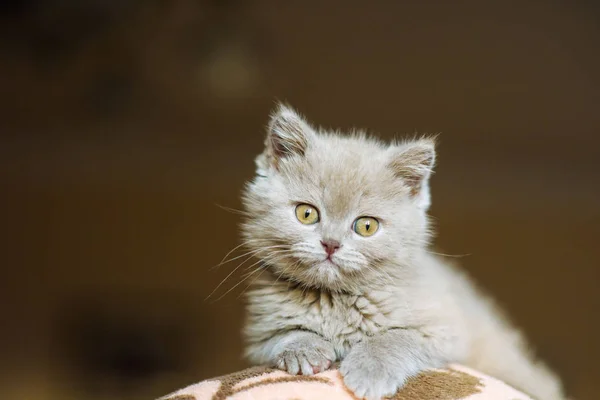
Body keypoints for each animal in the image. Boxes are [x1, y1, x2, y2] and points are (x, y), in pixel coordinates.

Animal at [238, 104, 564, 400]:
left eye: (366, 226)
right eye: (306, 214)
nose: (330, 243)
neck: (336, 300)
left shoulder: (447, 330)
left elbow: (397, 336)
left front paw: (370, 371)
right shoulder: (259, 335)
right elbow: (283, 335)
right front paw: (302, 350)